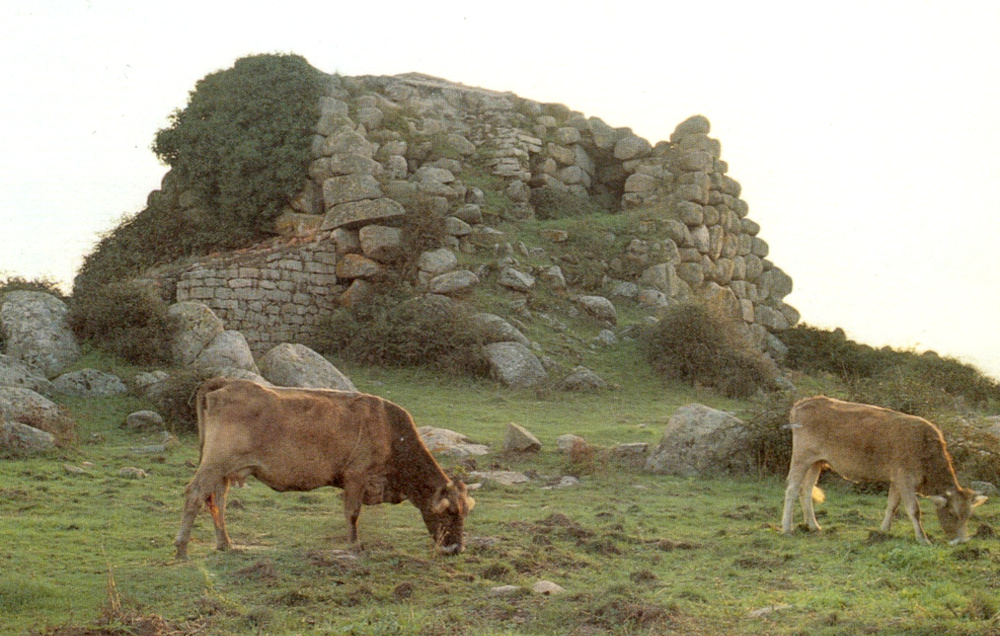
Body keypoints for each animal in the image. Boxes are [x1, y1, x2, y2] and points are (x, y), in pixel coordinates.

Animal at [174, 380, 474, 560]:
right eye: (449, 512)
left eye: (464, 513)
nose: (456, 548)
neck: (390, 433)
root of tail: (226, 383)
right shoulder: (356, 475)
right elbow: (352, 513)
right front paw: (354, 545)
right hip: (215, 463)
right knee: (194, 494)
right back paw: (181, 549)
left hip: (224, 470)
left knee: (216, 501)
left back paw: (226, 543)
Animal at [780, 396, 984, 544]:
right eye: (952, 514)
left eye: (968, 516)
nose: (962, 541)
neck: (924, 447)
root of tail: (802, 403)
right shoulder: (905, 479)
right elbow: (914, 509)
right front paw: (923, 539)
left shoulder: (896, 480)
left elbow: (892, 506)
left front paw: (883, 531)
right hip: (801, 458)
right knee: (792, 489)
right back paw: (787, 528)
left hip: (816, 462)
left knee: (805, 490)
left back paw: (813, 525)